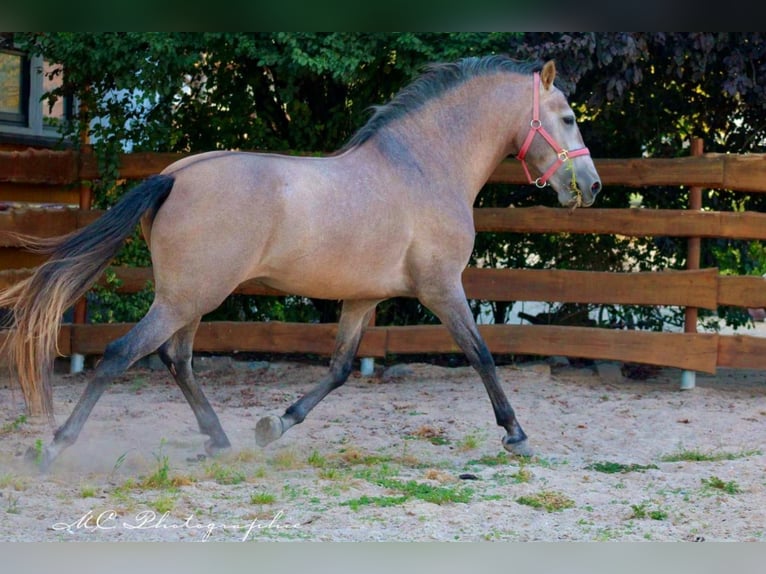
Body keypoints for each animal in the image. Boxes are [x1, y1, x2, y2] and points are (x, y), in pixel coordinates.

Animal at [0, 57, 600, 472]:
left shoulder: (363, 297)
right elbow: (482, 355)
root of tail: (174, 176)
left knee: (177, 359)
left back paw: (220, 440)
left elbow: (338, 369)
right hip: (189, 295)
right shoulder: (441, 289)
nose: (591, 187)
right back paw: (53, 449)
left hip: (191, 297)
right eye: (569, 118)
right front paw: (516, 434)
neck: (424, 166)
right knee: (124, 353)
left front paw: (275, 425)